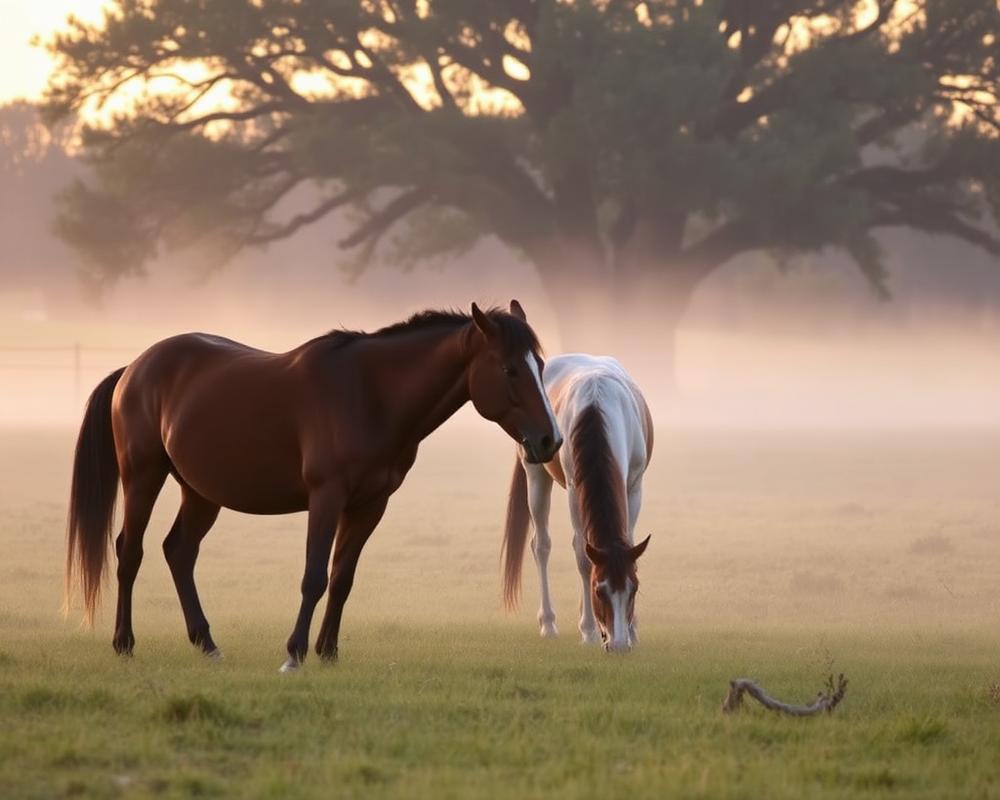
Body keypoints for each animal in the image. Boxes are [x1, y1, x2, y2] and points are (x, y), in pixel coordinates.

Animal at [65, 302, 562, 672]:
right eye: (510, 370)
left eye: (539, 366)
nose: (549, 440)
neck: (370, 394)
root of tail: (134, 368)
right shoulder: (327, 498)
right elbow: (314, 576)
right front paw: (295, 654)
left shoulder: (370, 505)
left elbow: (342, 578)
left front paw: (328, 652)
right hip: (143, 476)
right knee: (130, 551)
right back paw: (124, 643)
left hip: (201, 492)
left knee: (179, 551)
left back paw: (207, 643)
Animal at [501, 354, 653, 653]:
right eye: (599, 590)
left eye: (634, 589)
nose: (618, 645)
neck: (598, 410)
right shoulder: (574, 489)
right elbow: (583, 557)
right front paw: (590, 631)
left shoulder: (634, 486)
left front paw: (632, 631)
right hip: (535, 474)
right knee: (541, 546)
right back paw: (549, 624)